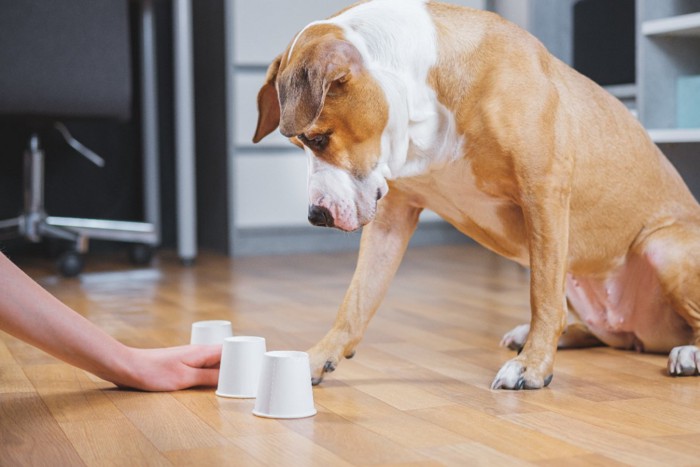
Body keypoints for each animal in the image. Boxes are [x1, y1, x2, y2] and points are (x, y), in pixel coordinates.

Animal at [252, 0, 700, 392]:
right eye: (299, 144)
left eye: (318, 138)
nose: (316, 216)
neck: (424, 92)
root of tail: (641, 334)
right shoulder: (392, 217)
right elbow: (357, 299)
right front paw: (316, 357)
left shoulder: (543, 193)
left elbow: (542, 295)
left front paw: (532, 367)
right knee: (599, 331)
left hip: (662, 248)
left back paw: (687, 353)